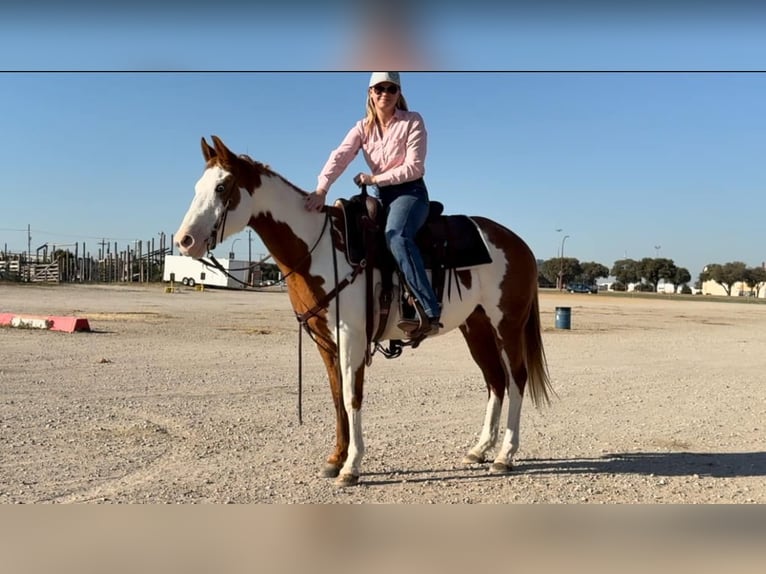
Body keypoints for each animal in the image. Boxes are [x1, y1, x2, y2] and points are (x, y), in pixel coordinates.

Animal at [174, 135, 553, 487]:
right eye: (197, 187)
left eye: (222, 187)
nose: (184, 240)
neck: (320, 247)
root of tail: (520, 244)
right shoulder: (325, 340)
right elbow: (337, 396)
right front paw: (334, 459)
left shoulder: (351, 337)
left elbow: (352, 396)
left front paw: (352, 466)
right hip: (476, 327)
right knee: (495, 381)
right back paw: (479, 449)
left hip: (507, 325)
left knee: (516, 379)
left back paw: (505, 456)